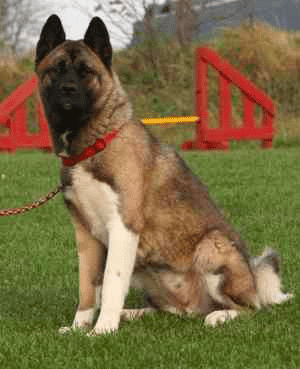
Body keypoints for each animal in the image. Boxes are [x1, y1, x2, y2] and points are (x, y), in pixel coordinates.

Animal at [35, 15, 292, 334]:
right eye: (56, 70)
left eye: (85, 72)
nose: (68, 89)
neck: (95, 144)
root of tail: (255, 281)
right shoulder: (86, 234)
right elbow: (88, 287)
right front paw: (79, 327)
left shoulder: (123, 226)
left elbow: (110, 284)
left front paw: (102, 330)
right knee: (173, 311)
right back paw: (133, 313)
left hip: (211, 247)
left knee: (250, 309)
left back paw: (219, 316)